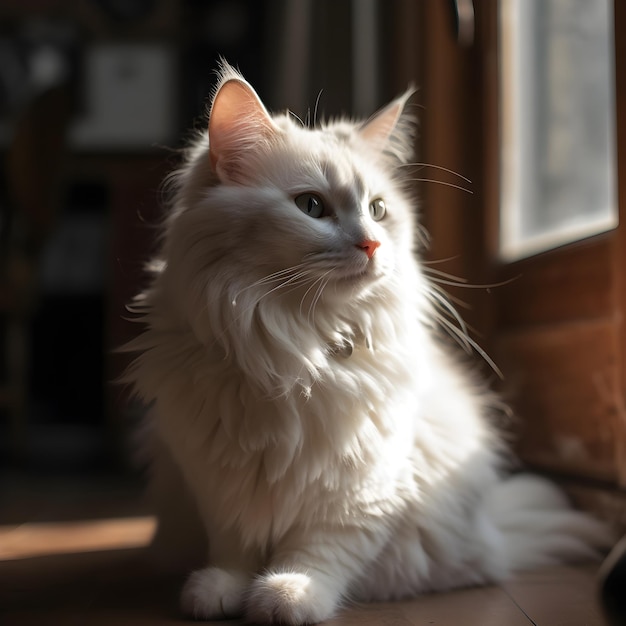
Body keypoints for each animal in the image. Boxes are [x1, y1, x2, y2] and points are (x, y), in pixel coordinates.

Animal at [123, 62, 608, 620]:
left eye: (377, 210)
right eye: (311, 206)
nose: (372, 244)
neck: (295, 349)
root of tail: (492, 534)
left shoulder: (363, 486)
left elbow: (316, 554)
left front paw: (287, 597)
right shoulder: (218, 480)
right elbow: (234, 548)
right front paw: (221, 591)